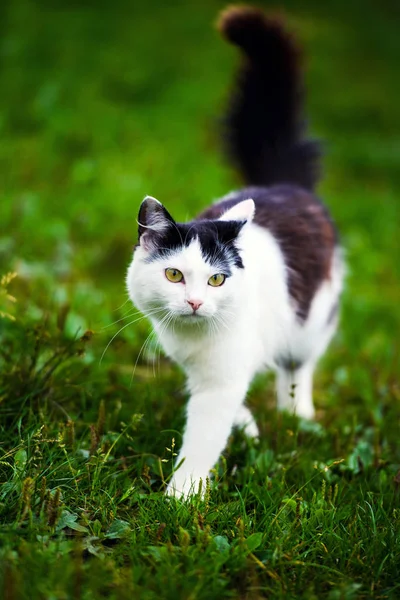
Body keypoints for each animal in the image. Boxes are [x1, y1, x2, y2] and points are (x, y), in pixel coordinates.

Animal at [126, 5, 344, 496]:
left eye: (216, 279)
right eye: (173, 275)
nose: (194, 302)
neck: (192, 340)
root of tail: (284, 182)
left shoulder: (221, 381)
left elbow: (203, 439)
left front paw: (180, 499)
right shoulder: (201, 369)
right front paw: (244, 427)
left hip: (312, 318)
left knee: (298, 366)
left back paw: (297, 417)